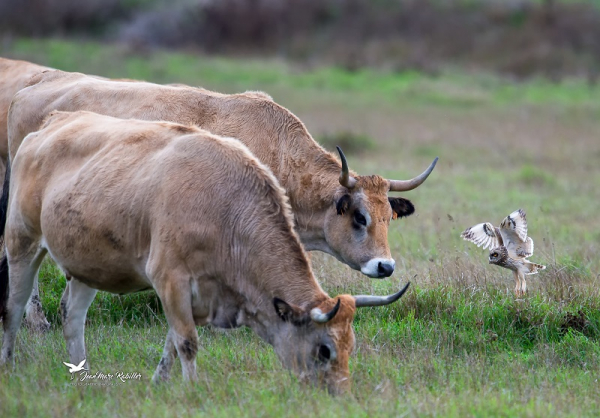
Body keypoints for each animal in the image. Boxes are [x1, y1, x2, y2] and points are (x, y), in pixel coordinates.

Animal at [0, 109, 410, 394]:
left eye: (350, 347)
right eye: (325, 350)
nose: (340, 393)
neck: (225, 208)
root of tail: (51, 123)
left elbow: (171, 343)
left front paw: (160, 384)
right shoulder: (170, 280)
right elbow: (187, 343)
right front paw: (192, 390)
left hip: (87, 264)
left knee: (73, 318)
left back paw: (82, 375)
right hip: (22, 243)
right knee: (14, 308)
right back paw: (9, 365)